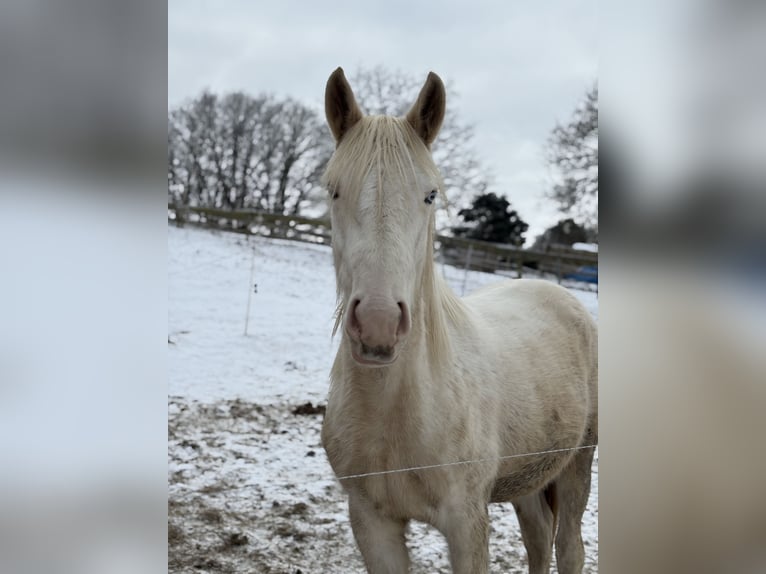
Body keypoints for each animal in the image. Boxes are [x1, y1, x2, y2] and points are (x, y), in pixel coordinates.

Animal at [320, 67, 598, 574]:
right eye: (333, 190)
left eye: (430, 195)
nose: (377, 325)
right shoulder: (372, 522)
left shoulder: (467, 523)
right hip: (528, 479)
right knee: (538, 539)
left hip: (577, 465)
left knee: (569, 548)